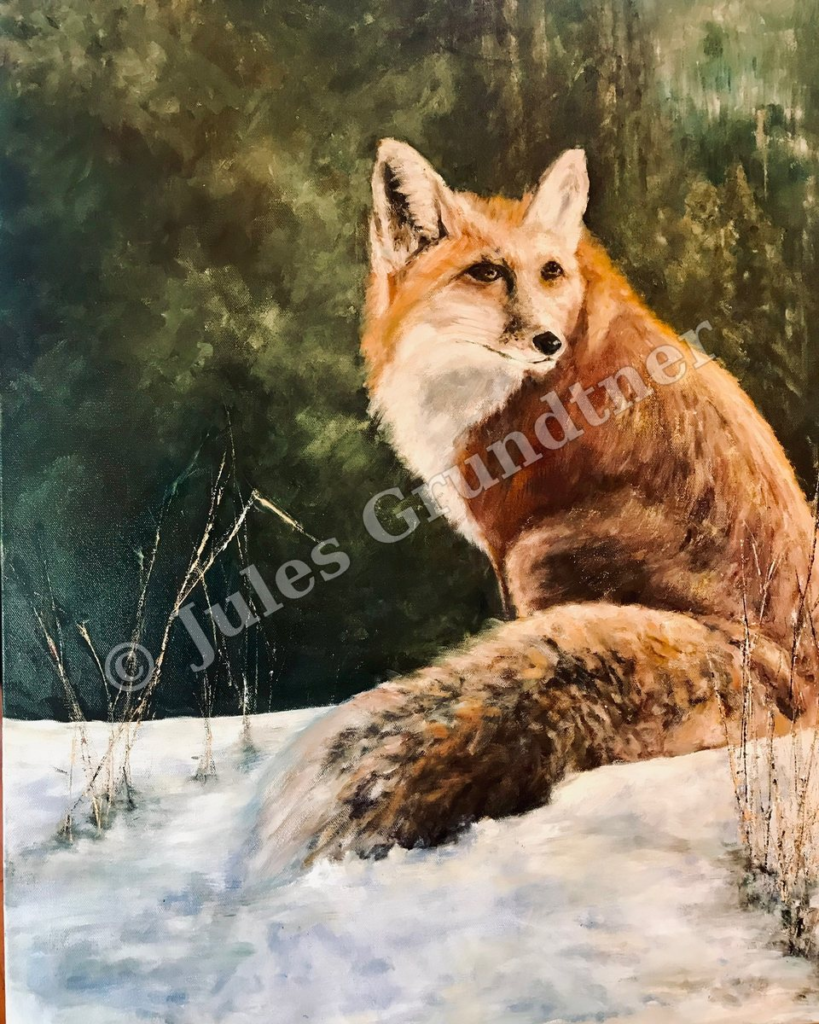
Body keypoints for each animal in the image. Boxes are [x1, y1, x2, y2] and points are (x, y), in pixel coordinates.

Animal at [253, 141, 819, 870]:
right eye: (485, 272)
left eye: (549, 271)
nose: (547, 341)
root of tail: (786, 667)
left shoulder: (506, 542)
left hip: (539, 552)